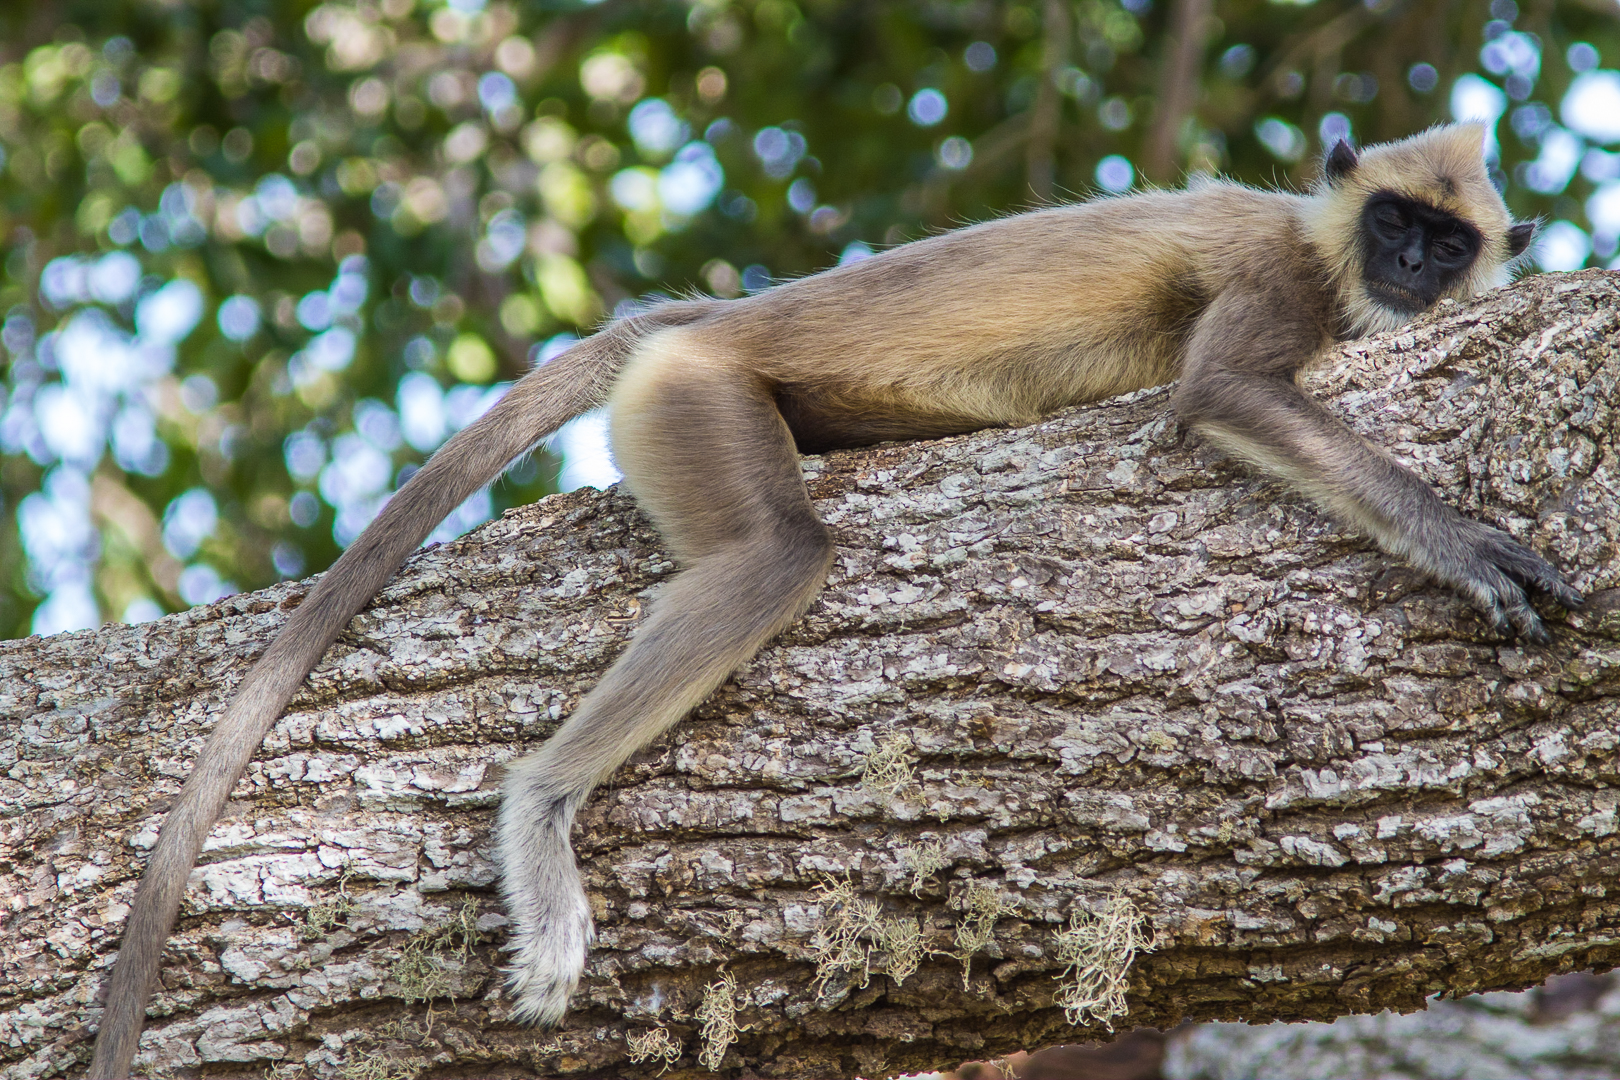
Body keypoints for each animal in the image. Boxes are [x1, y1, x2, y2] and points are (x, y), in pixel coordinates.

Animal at [91, 122, 1581, 1075]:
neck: (1324, 253)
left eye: (1446, 243)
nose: (1408, 271)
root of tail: (710, 319)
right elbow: (1224, 393)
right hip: (698, 399)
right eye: (1392, 225)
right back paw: (543, 806)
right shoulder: (1279, 275)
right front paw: (1464, 544)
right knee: (779, 557)